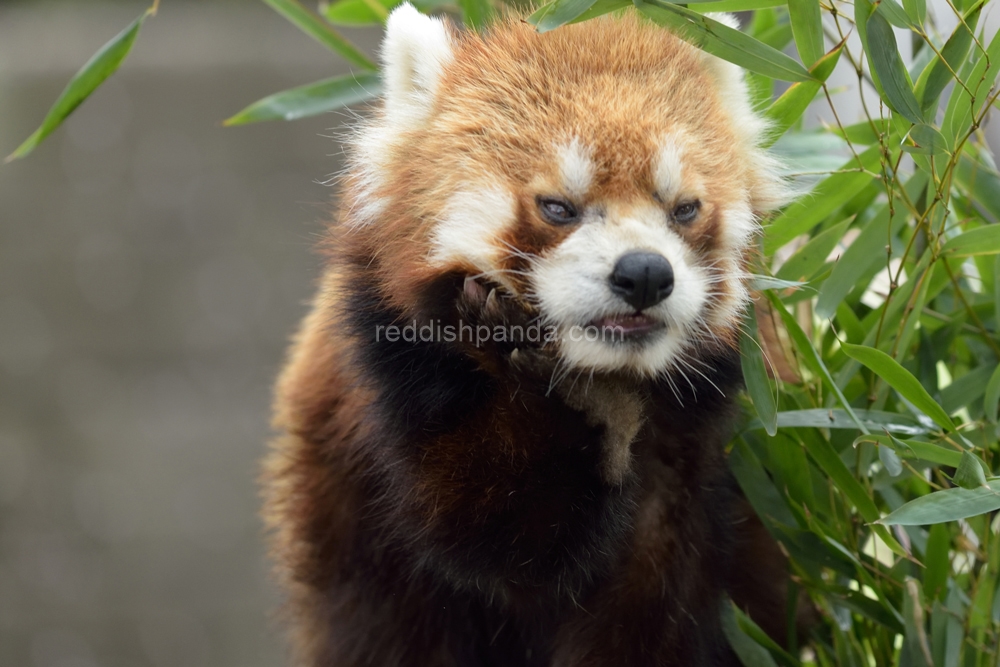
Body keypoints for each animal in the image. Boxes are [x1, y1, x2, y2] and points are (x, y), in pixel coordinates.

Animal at [268, 6, 796, 667]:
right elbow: (491, 532)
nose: (645, 273)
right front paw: (569, 398)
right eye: (557, 207)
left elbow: (652, 618)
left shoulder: (694, 456)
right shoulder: (400, 378)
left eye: (684, 209)